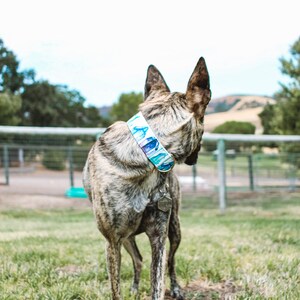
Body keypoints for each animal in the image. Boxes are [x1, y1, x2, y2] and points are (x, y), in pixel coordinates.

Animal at [82, 56, 211, 300]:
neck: (146, 151)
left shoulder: (158, 236)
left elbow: (158, 281)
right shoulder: (112, 240)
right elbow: (116, 289)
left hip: (175, 227)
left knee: (170, 261)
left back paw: (176, 288)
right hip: (126, 238)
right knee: (138, 259)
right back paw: (134, 287)